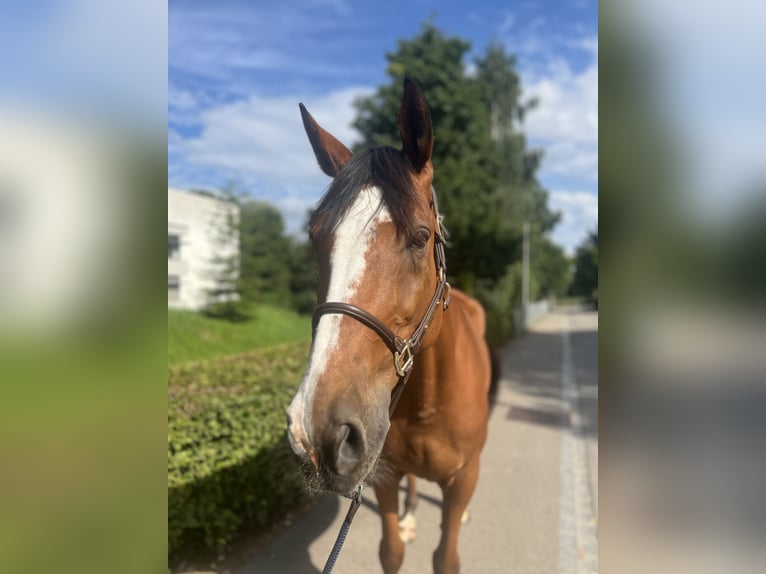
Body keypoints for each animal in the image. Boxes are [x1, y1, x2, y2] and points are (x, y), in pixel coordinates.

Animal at [286, 80, 492, 574]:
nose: (319, 432)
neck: (427, 404)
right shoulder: (382, 476)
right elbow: (391, 551)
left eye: (420, 236)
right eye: (315, 238)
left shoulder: (462, 481)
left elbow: (446, 557)